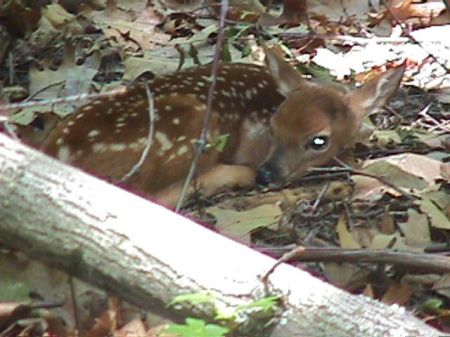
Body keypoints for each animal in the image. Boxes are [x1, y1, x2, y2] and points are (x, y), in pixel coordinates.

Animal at [40, 44, 402, 207]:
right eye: (274, 128)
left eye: (318, 140)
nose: (266, 174)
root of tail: (58, 151)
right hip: (188, 127)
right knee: (152, 195)